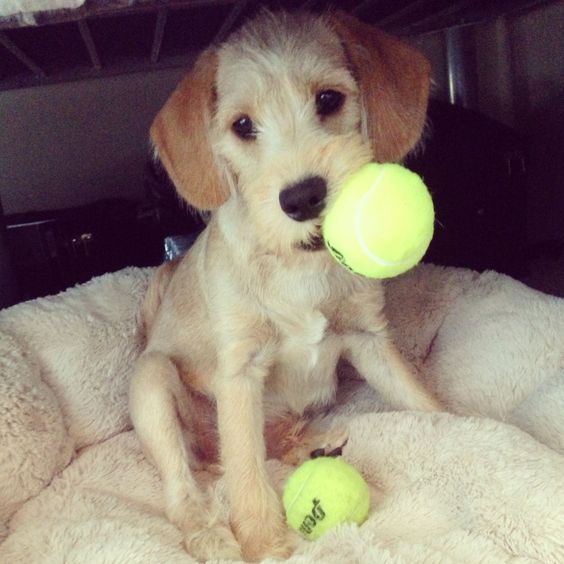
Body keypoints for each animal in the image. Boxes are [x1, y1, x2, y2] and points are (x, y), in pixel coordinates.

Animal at [129, 8, 440, 560]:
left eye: (329, 99)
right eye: (242, 125)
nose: (301, 197)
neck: (299, 267)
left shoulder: (369, 340)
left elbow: (421, 399)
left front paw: (477, 427)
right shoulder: (239, 374)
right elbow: (248, 476)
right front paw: (264, 543)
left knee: (265, 444)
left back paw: (309, 443)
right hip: (152, 382)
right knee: (184, 485)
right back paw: (209, 532)